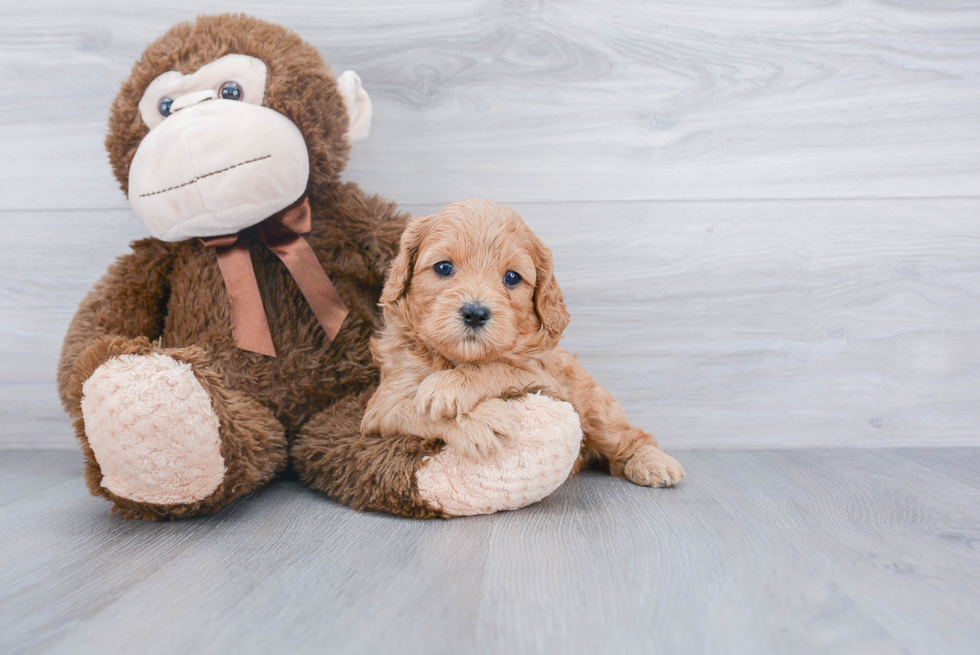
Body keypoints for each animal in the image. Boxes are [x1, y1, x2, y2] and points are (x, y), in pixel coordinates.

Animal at [362, 197, 688, 490]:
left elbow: (501, 367)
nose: (475, 313)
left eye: (511, 277)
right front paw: (480, 421)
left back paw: (654, 462)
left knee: (629, 436)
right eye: (443, 268)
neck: (458, 359)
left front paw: (449, 386)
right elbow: (412, 408)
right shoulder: (380, 409)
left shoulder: (547, 381)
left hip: (596, 409)